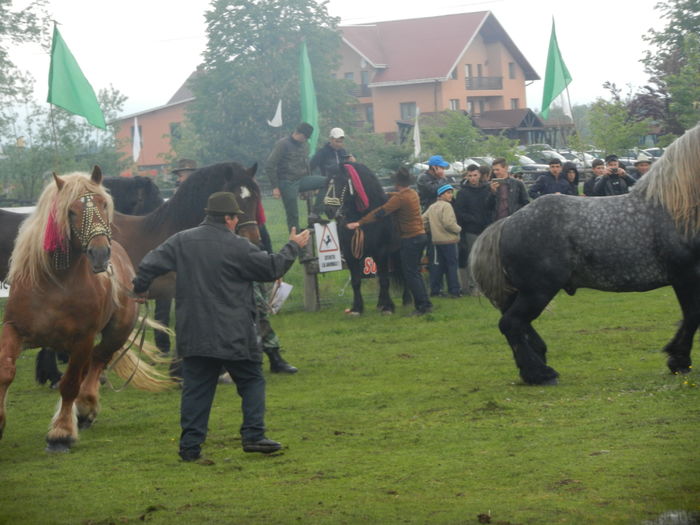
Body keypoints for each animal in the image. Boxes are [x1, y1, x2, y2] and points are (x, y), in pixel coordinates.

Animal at [0, 168, 170, 450]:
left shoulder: (83, 338)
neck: (55, 284)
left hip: (116, 333)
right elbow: (6, 371)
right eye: (71, 211)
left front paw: (61, 432)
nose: (100, 253)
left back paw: (85, 408)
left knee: (98, 360)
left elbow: (70, 383)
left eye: (103, 204)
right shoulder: (15, 330)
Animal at [324, 162, 402, 314]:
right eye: (328, 182)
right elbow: (356, 281)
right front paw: (357, 308)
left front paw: (388, 307)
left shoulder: (381, 252)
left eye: (342, 182)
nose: (329, 210)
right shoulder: (350, 254)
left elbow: (384, 279)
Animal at [468, 123, 700, 384]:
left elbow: (692, 316)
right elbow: (693, 315)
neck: (677, 207)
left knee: (517, 324)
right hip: (538, 290)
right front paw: (678, 360)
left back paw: (537, 359)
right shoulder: (685, 275)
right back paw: (539, 373)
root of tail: (506, 223)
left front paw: (677, 357)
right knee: (511, 323)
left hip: (523, 292)